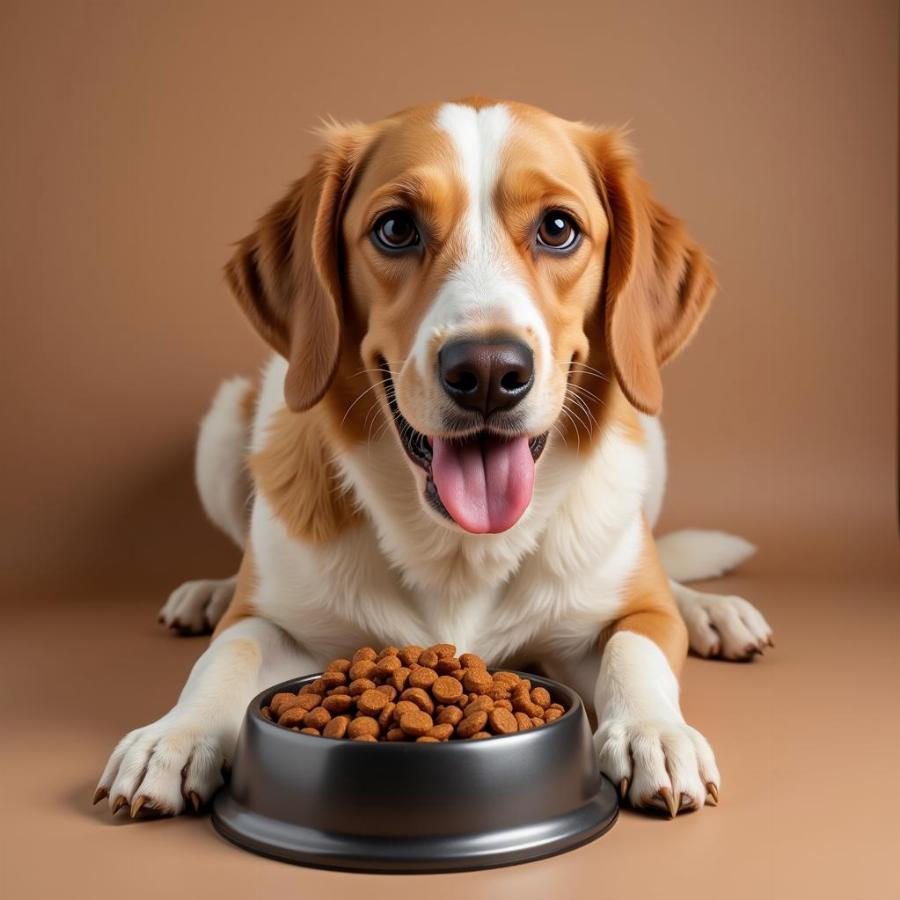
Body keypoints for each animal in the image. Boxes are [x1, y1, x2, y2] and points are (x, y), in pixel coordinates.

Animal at [98, 100, 772, 824]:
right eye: (396, 229)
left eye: (558, 228)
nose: (488, 372)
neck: (457, 547)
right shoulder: (268, 621)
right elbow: (229, 653)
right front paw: (174, 735)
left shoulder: (631, 617)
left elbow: (634, 647)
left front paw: (655, 731)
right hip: (223, 429)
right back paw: (208, 592)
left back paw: (711, 611)